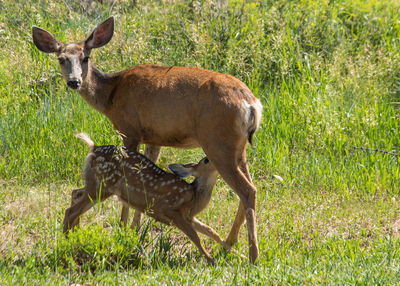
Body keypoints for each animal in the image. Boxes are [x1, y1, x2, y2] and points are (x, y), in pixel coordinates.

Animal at [31, 16, 262, 262]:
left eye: (86, 57)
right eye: (61, 59)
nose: (74, 81)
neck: (111, 95)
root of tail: (251, 105)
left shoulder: (129, 130)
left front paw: (124, 230)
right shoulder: (155, 137)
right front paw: (135, 230)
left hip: (218, 144)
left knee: (247, 190)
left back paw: (251, 254)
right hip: (239, 148)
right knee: (250, 188)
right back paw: (230, 245)